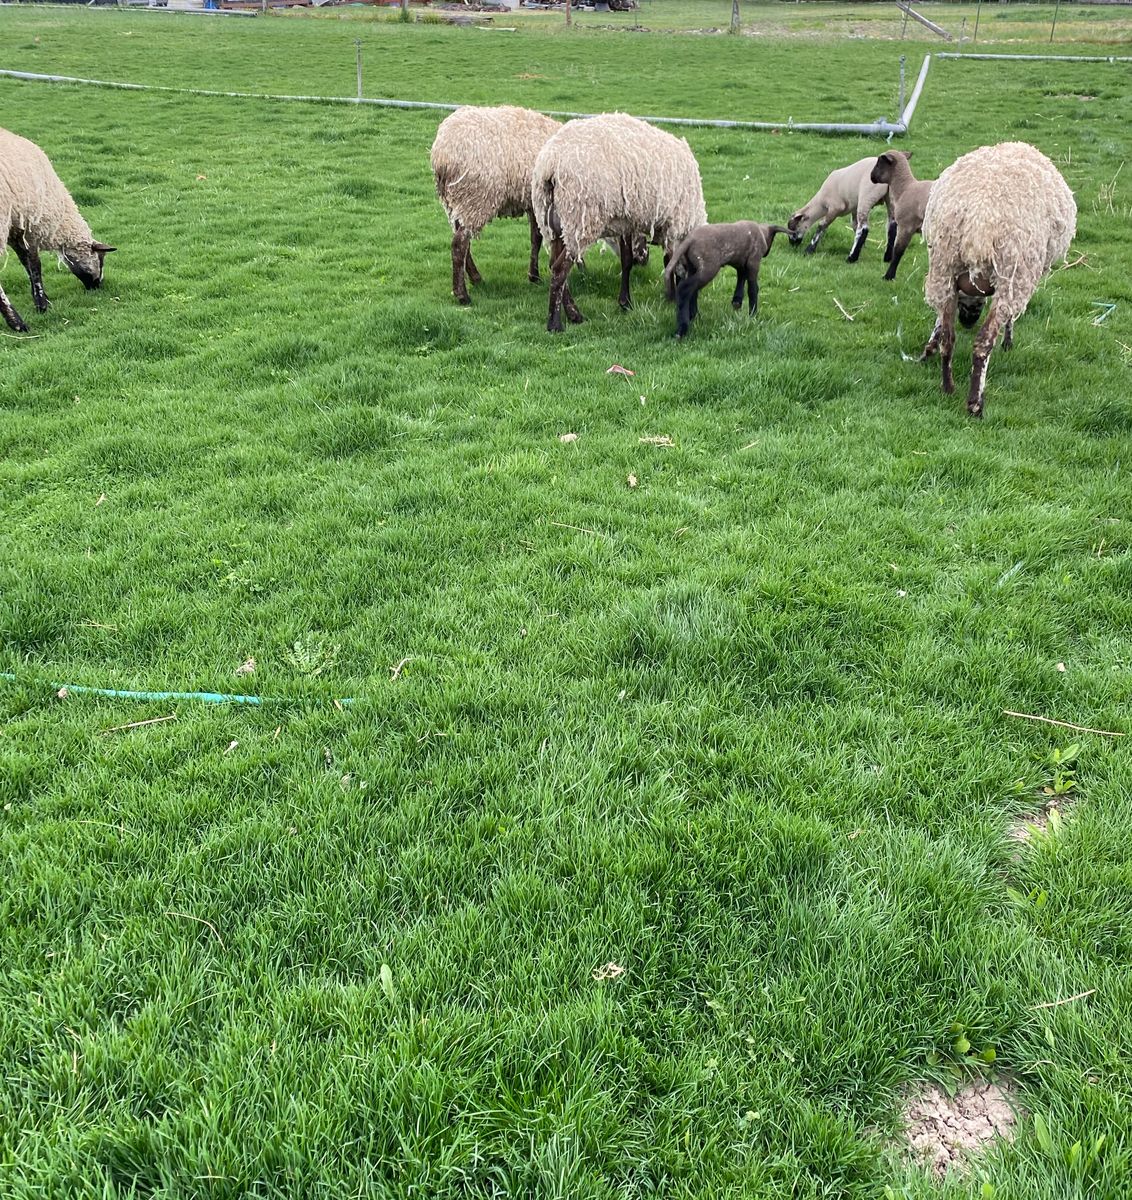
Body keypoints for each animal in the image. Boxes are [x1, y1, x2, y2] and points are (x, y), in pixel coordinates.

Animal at [0, 126, 115, 332]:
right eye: (100, 259)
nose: (97, 286)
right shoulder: (33, 225)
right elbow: (34, 264)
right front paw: (42, 304)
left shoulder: (16, 227)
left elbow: (25, 262)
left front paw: (42, 298)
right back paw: (18, 324)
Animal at [431, 105, 562, 305]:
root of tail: (442, 155)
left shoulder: (533, 203)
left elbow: (535, 238)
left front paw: (533, 275)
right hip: (475, 198)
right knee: (459, 243)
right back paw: (463, 295)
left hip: (457, 202)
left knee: (461, 239)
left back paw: (475, 278)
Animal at [531, 113, 707, 333]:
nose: (695, 315)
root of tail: (550, 163)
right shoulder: (675, 223)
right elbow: (670, 263)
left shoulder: (626, 223)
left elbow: (627, 260)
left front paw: (626, 303)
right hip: (580, 219)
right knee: (559, 269)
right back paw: (555, 324)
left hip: (556, 225)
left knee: (555, 265)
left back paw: (574, 315)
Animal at [869, 150, 934, 281]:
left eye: (879, 163)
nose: (871, 176)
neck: (904, 188)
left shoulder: (906, 226)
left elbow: (898, 251)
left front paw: (888, 276)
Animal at [918, 141, 1076, 418]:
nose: (967, 320)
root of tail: (978, 220)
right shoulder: (1018, 276)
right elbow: (1010, 319)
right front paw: (1008, 341)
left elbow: (939, 322)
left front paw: (930, 346)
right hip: (1013, 271)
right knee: (983, 342)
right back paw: (975, 403)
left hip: (943, 264)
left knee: (949, 337)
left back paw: (948, 387)